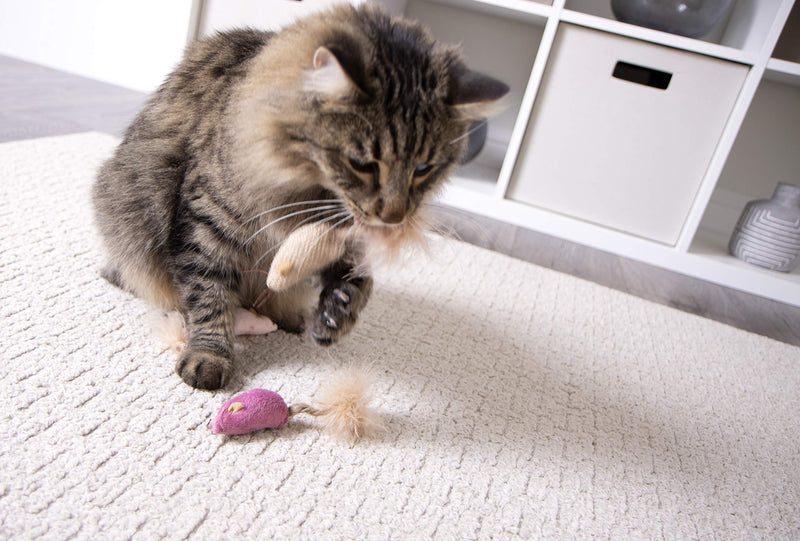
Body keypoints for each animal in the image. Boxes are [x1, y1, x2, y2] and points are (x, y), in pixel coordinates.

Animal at [94, 0, 506, 388]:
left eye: (423, 169)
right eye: (363, 165)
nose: (393, 216)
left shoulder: (339, 237)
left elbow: (360, 280)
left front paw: (338, 312)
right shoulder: (208, 223)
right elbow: (210, 295)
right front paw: (209, 355)